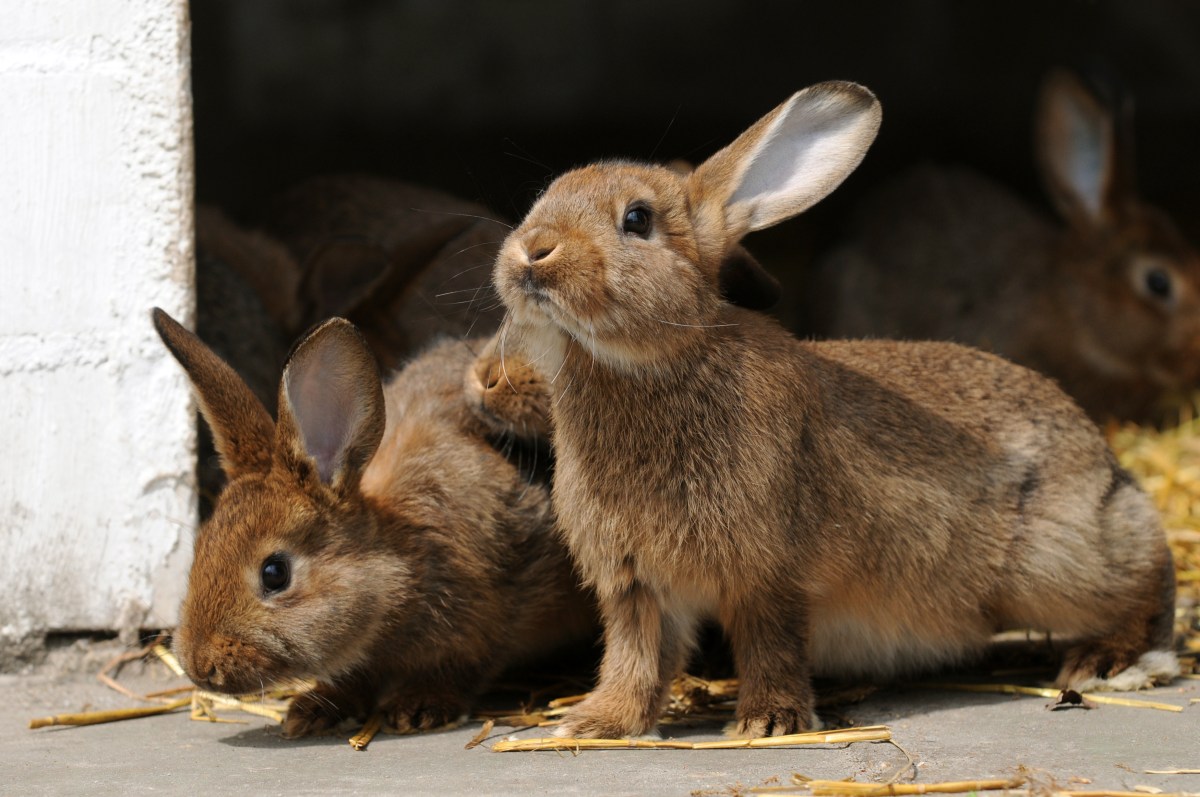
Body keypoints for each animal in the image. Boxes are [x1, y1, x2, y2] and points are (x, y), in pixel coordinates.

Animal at [154, 309, 595, 734]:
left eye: (275, 573)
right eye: (200, 549)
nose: (198, 666)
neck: (397, 563)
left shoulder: (494, 614)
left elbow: (461, 667)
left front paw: (418, 708)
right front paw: (312, 711)